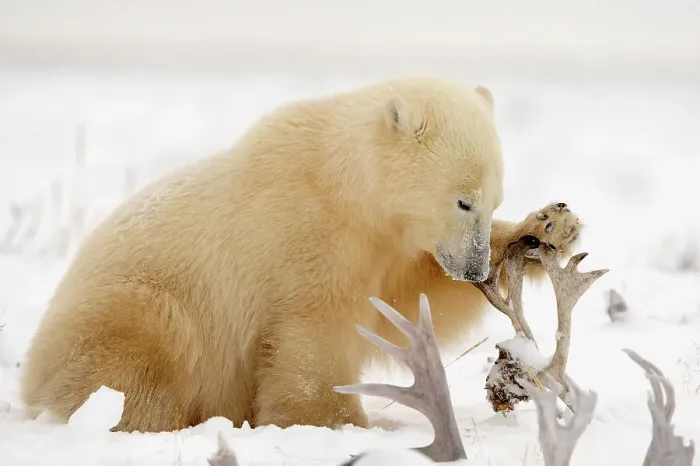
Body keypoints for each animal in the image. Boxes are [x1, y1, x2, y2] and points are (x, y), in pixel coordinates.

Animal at [20, 76, 582, 433]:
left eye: (494, 201)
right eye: (462, 200)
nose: (475, 267)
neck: (342, 181)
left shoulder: (385, 246)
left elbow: (415, 294)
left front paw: (551, 228)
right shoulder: (305, 231)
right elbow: (314, 329)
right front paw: (336, 421)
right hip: (127, 308)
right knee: (148, 350)